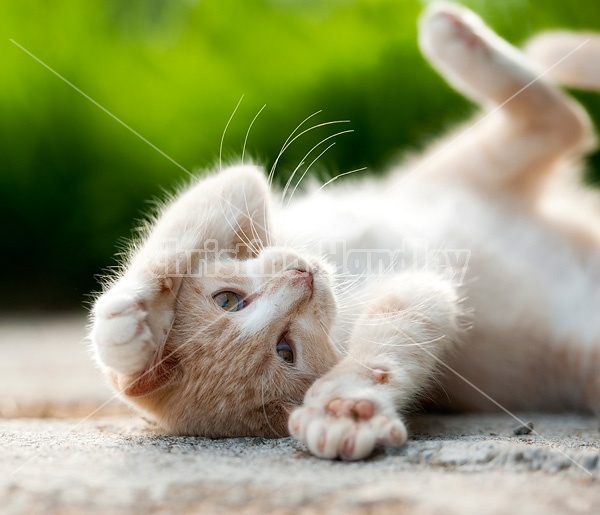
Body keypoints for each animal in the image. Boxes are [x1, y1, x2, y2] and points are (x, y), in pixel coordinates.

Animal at [89, 3, 600, 464]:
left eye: (228, 300)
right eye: (285, 349)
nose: (302, 278)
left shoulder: (241, 192)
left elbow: (197, 218)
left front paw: (130, 320)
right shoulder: (416, 291)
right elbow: (407, 319)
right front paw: (349, 409)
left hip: (457, 173)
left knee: (563, 118)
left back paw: (456, 37)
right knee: (567, 124)